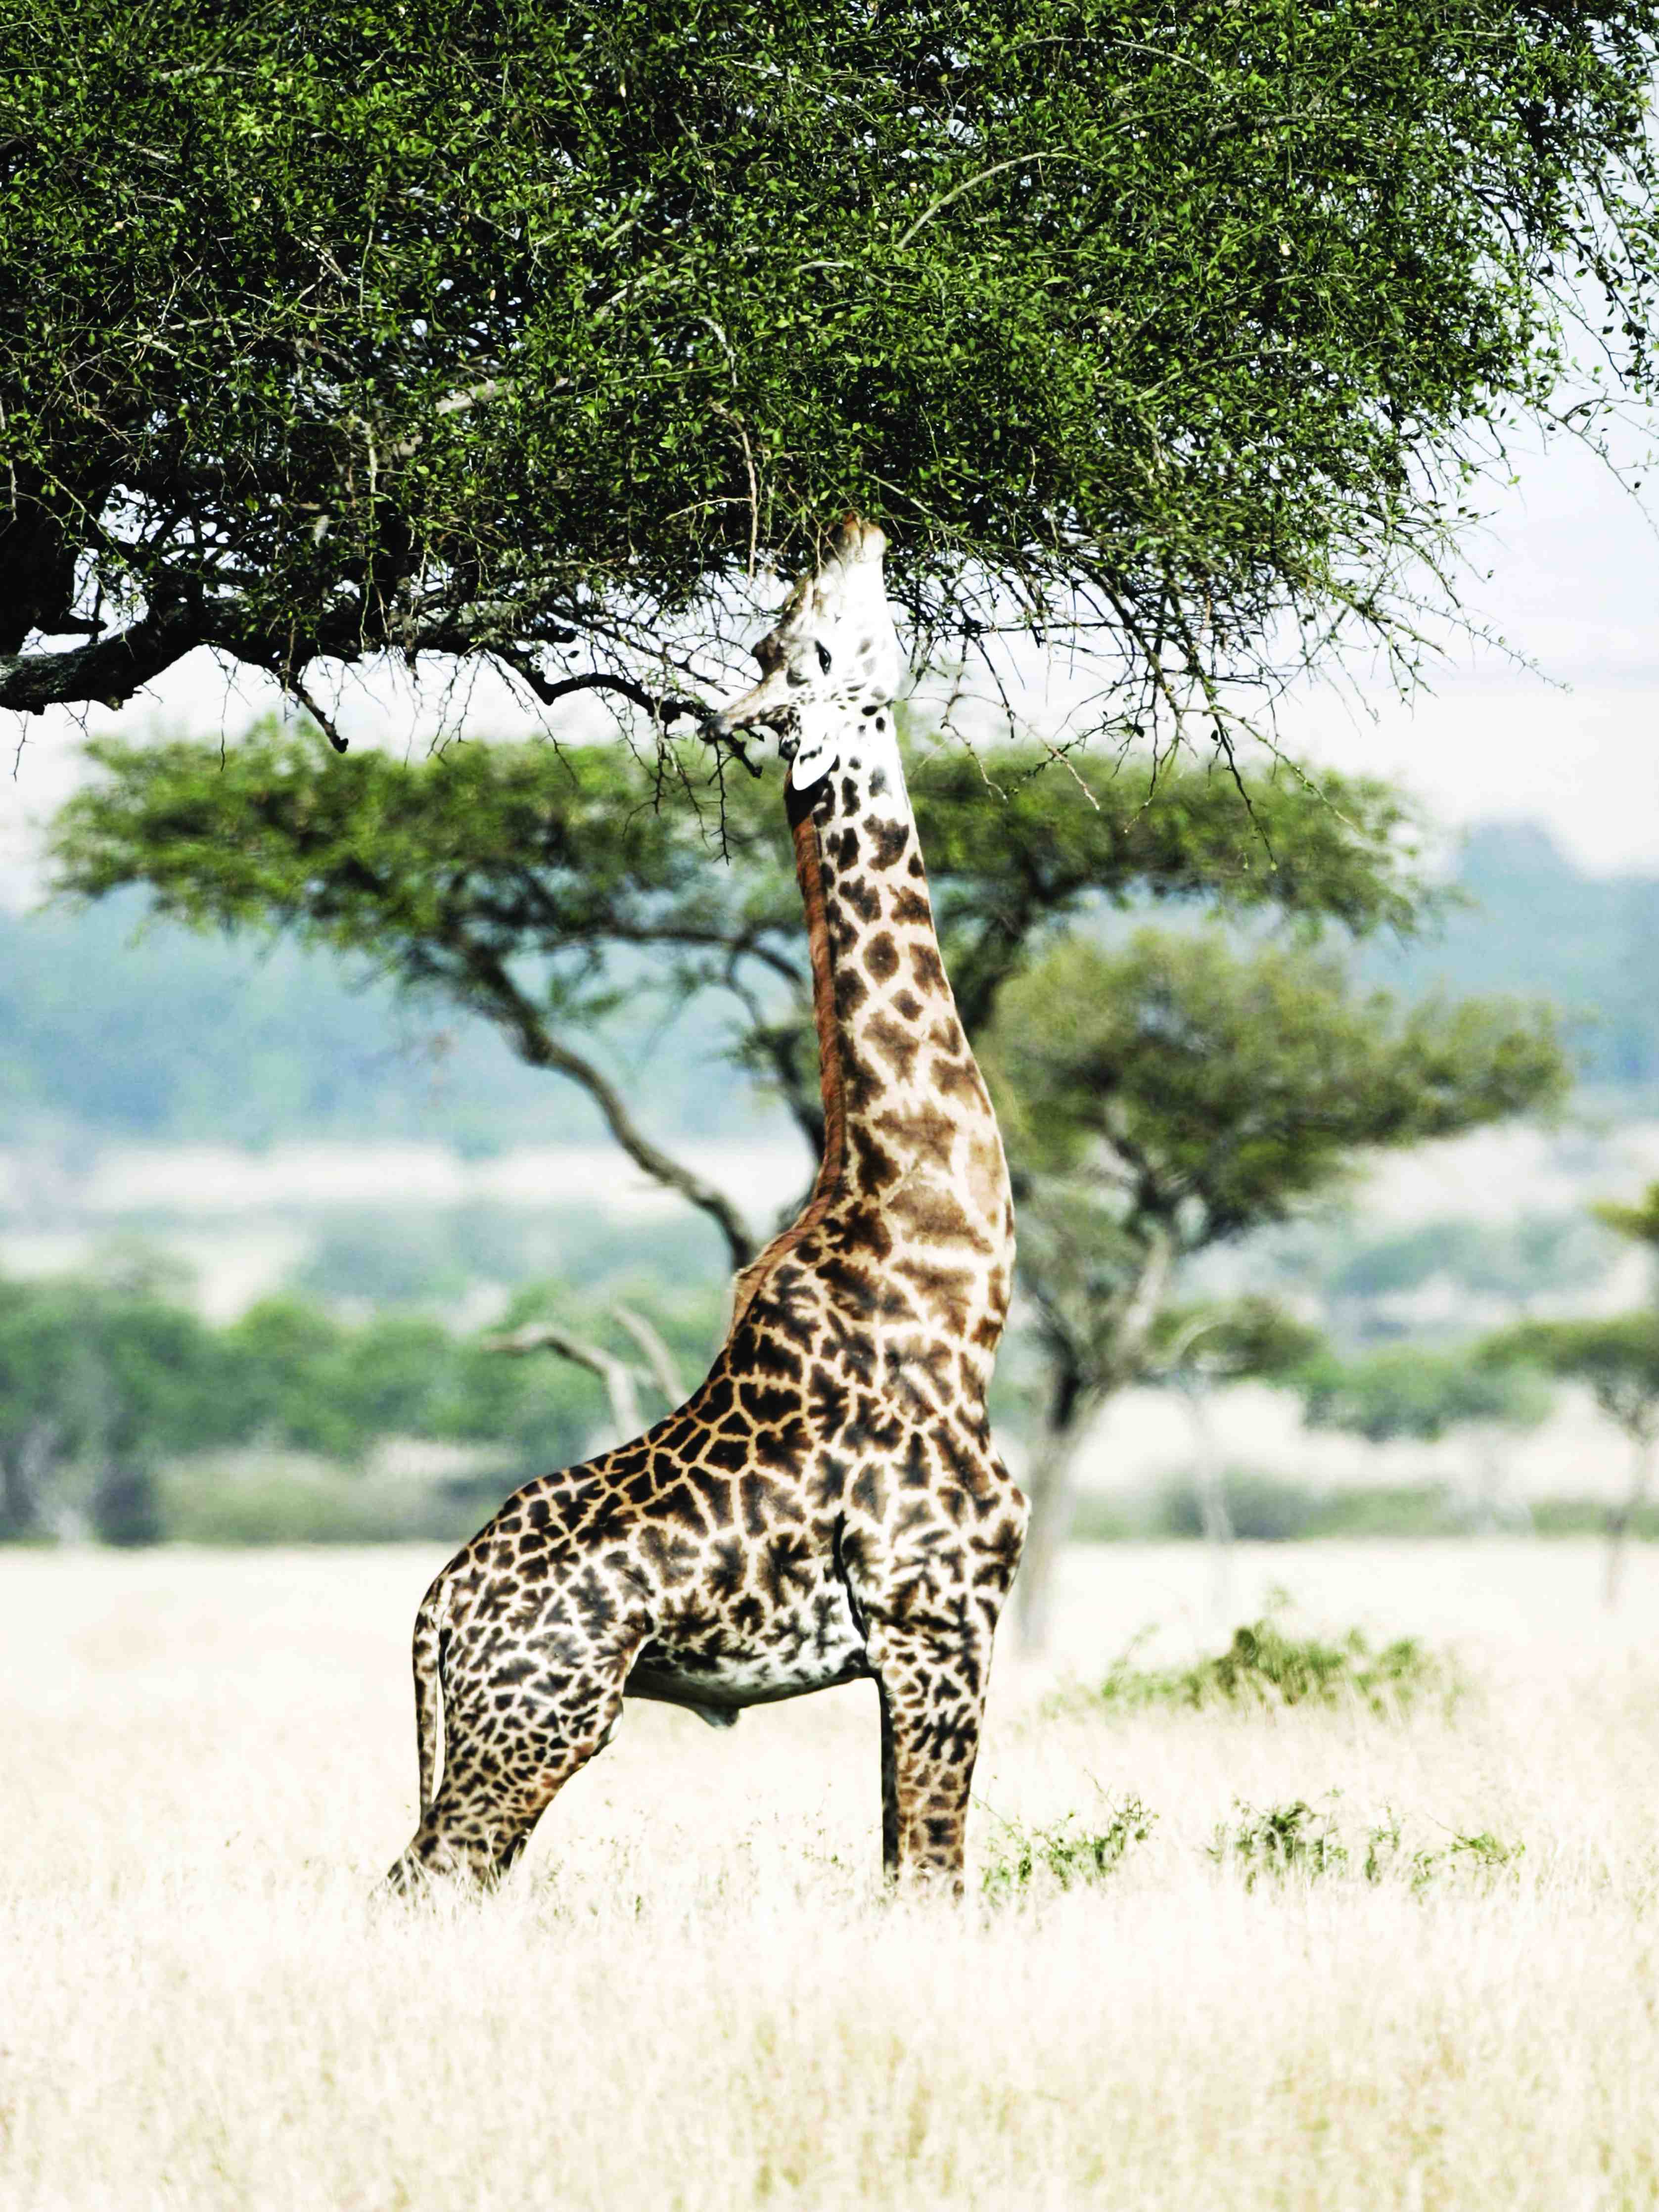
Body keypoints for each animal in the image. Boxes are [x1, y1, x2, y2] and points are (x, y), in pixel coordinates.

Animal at [388, 517, 1026, 1896]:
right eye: (809, 639)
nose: (851, 524)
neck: (953, 1284)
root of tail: (437, 1608)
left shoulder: (912, 1646)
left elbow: (900, 1868)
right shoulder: (940, 1614)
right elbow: (936, 1877)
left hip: (500, 1725)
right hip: (543, 1719)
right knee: (427, 1879)